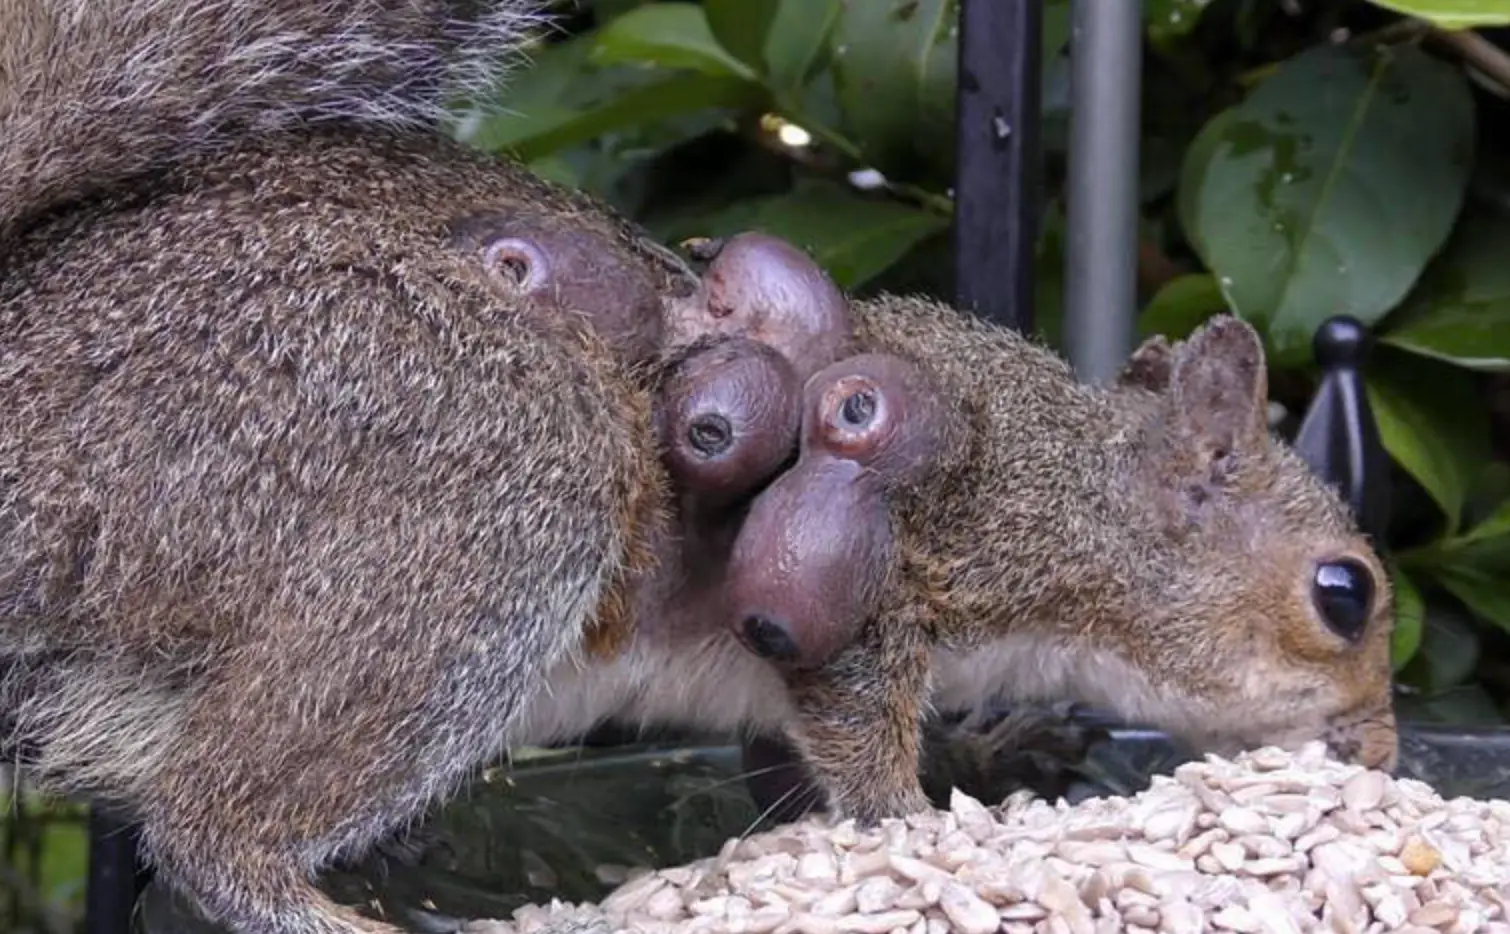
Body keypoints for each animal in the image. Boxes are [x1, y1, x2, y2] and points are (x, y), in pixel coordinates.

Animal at [0, 2, 1398, 933]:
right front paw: (928, 830)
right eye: (1345, 593)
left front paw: (1010, 756)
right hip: (475, 463)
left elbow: (795, 760)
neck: (1074, 493)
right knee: (210, 827)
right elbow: (857, 727)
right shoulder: (911, 551)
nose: (1384, 751)